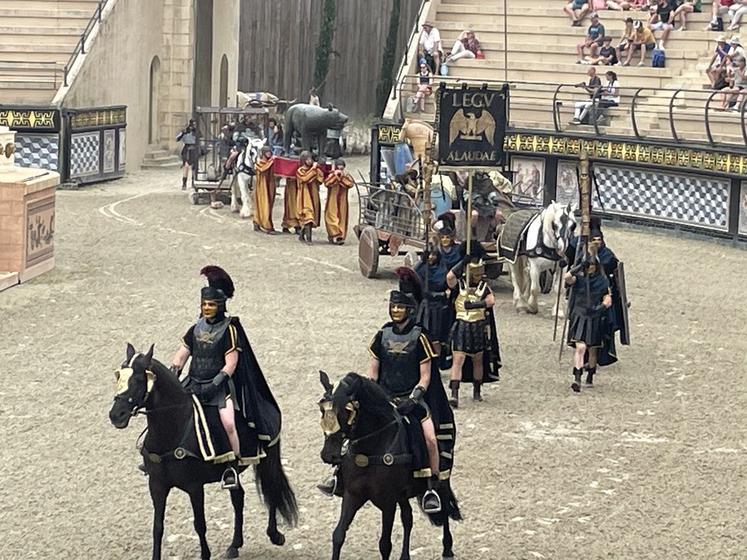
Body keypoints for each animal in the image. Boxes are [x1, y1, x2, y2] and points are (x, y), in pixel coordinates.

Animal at [111, 344, 298, 560]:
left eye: (139, 380)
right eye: (118, 376)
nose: (115, 415)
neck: (173, 431)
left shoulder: (194, 487)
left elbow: (199, 524)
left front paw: (205, 554)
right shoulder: (157, 485)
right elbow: (157, 527)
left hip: (268, 458)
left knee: (271, 488)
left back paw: (274, 534)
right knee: (238, 498)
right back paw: (234, 545)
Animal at [318, 372, 458, 560]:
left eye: (347, 411)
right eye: (322, 410)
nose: (328, 455)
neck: (371, 450)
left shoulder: (388, 502)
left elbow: (385, 544)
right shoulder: (352, 495)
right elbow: (338, 535)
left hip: (441, 479)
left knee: (444, 507)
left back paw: (447, 549)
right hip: (403, 494)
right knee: (408, 517)